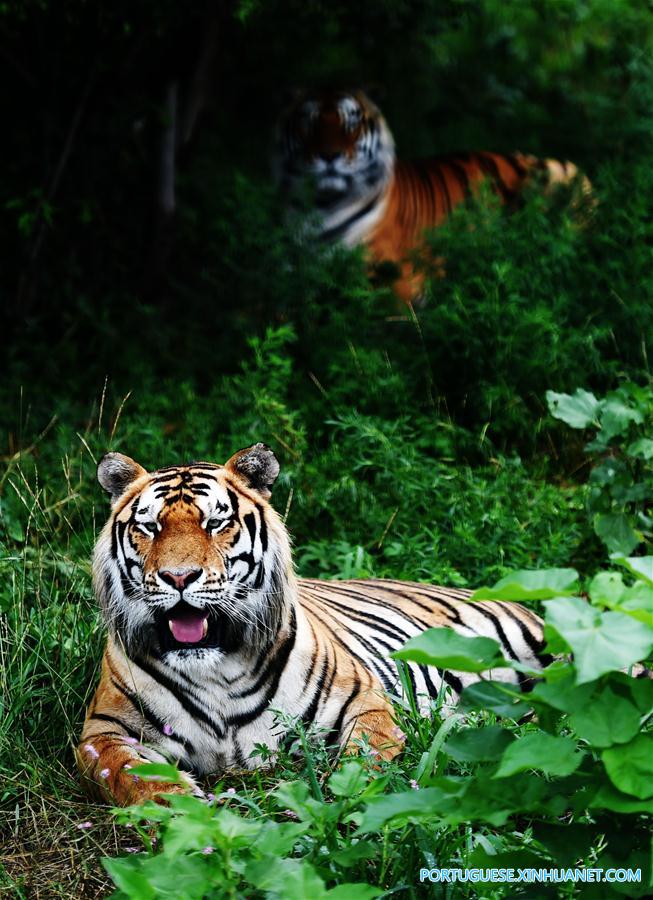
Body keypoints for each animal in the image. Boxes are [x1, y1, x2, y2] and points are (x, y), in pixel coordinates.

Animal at [79, 442, 548, 800]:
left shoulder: (364, 698)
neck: (215, 669)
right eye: (149, 527)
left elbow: (366, 756)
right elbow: (124, 772)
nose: (178, 577)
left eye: (215, 522)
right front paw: (177, 807)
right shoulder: (104, 731)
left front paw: (345, 791)